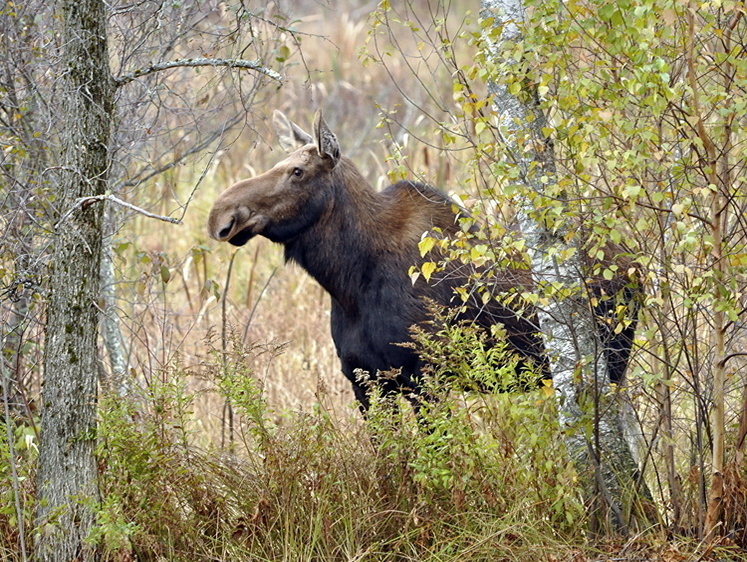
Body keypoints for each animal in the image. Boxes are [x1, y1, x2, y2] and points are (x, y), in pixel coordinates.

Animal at [209, 110, 636, 406]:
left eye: (297, 171)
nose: (221, 215)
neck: (346, 281)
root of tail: (635, 261)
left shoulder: (422, 378)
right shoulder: (363, 380)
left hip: (612, 361)